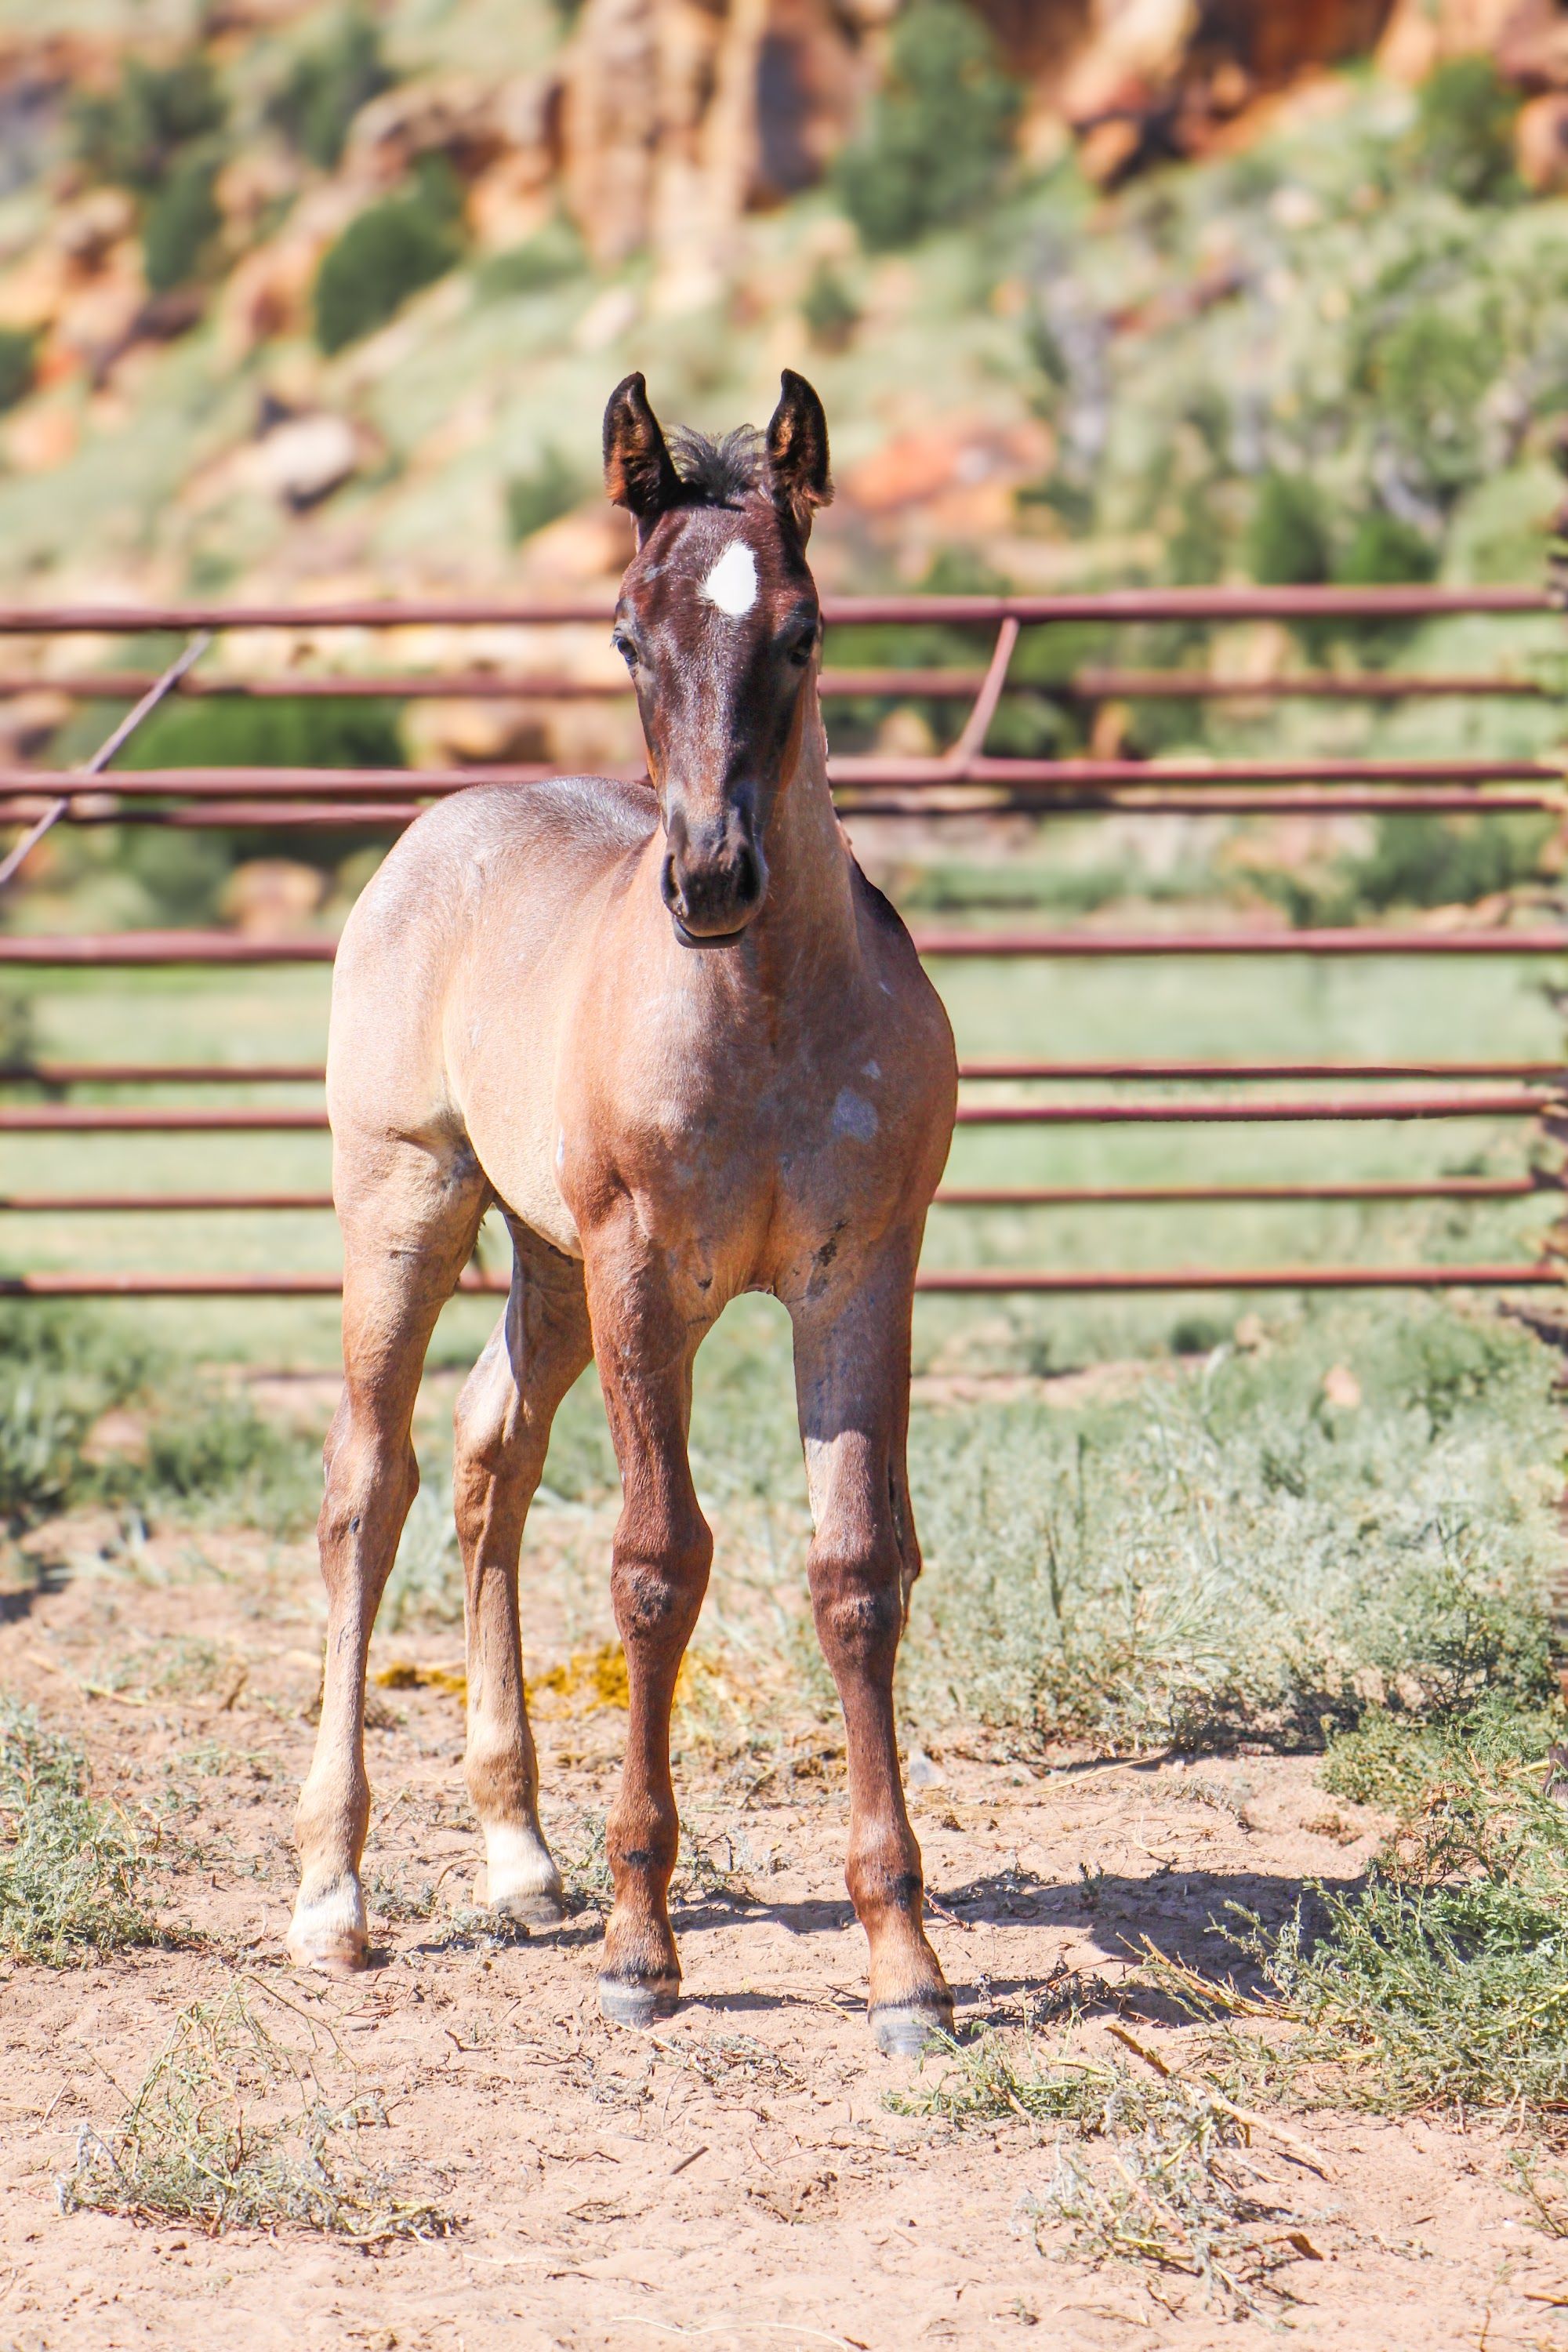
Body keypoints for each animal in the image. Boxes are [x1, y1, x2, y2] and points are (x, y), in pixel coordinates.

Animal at [286, 369, 959, 2054]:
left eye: (802, 628)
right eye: (623, 636)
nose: (710, 878)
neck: (763, 1016)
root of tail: (443, 823)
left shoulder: (863, 1277)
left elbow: (858, 1574)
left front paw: (904, 1961)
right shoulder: (649, 1273)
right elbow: (658, 1568)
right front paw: (643, 1947)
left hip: (543, 1262)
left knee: (488, 1465)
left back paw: (521, 1854)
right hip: (411, 1205)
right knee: (367, 1489)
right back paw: (334, 1893)